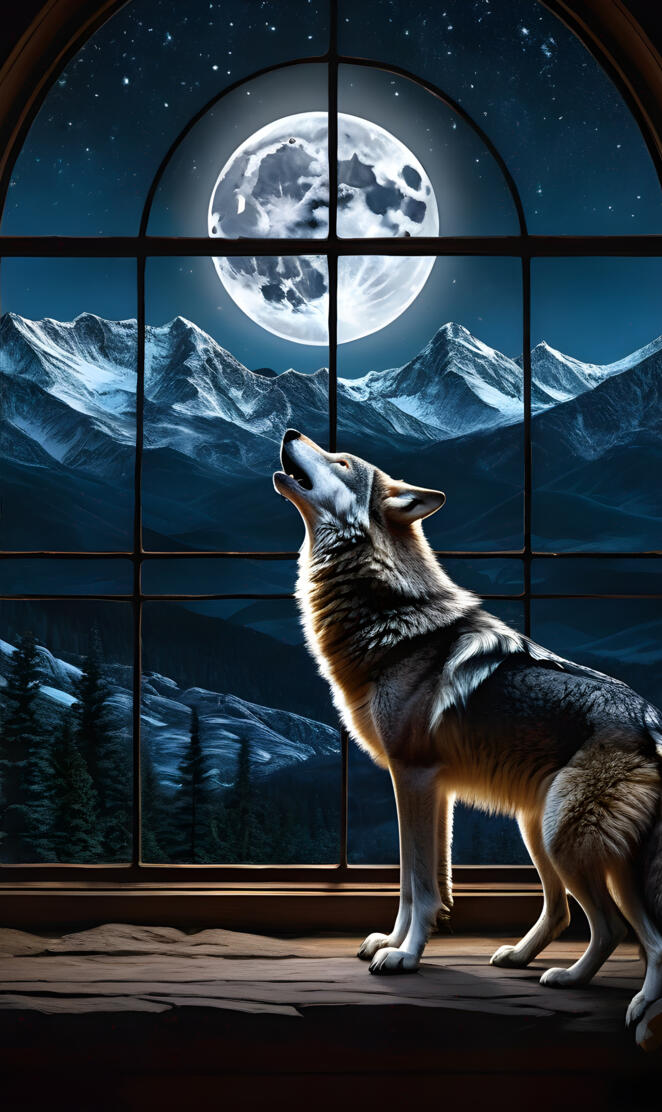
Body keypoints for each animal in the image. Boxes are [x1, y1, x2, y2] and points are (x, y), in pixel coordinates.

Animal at [273, 428, 662, 1045]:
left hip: (569, 842)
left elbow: (420, 883)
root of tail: (649, 718)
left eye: (343, 462)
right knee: (577, 918)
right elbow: (419, 882)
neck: (390, 616)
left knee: (633, 933)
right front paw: (393, 943)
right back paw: (540, 967)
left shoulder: (413, 778)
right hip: (542, 834)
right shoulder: (431, 788)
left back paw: (634, 1008)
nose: (290, 432)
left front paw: (404, 956)